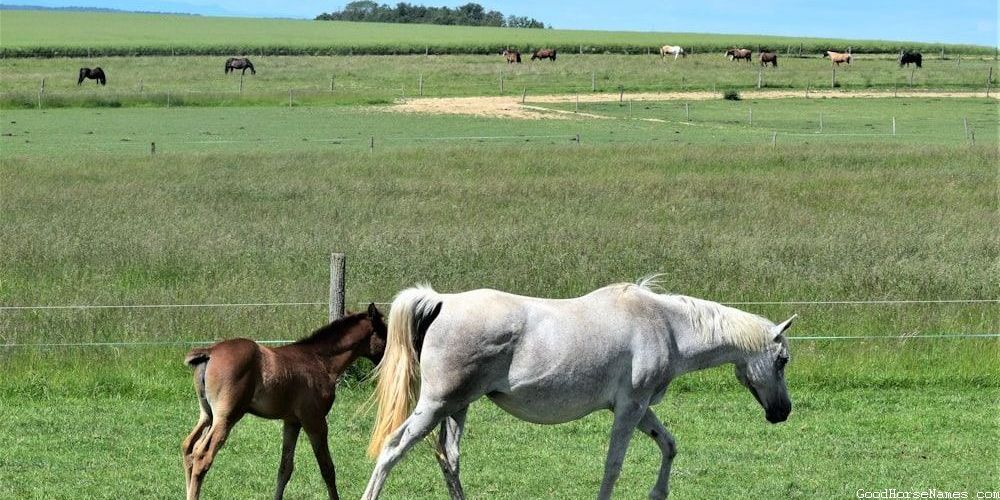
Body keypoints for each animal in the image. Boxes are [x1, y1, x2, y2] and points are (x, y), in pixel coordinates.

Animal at [182, 304, 388, 500]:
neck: (320, 360)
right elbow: (327, 468)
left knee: (188, 447)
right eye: (384, 331)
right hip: (226, 417)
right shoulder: (315, 421)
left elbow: (285, 468)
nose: (387, 358)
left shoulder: (292, 422)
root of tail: (210, 352)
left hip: (207, 415)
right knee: (202, 456)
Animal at [363, 278, 796, 500]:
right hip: (435, 406)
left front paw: (658, 494)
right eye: (782, 360)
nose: (783, 412)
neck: (665, 325)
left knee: (448, 458)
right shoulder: (630, 409)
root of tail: (442, 302)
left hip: (457, 407)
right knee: (392, 449)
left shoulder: (639, 409)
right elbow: (613, 465)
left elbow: (669, 445)